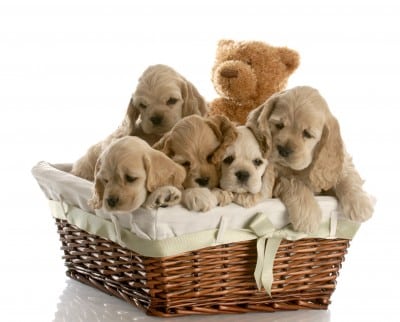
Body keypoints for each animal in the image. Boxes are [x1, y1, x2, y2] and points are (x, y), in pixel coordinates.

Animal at [247, 85, 376, 231]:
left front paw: (360, 204)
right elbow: (296, 183)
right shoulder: (280, 174)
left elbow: (347, 176)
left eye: (307, 134)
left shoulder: (339, 162)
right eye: (279, 125)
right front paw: (308, 216)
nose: (283, 150)